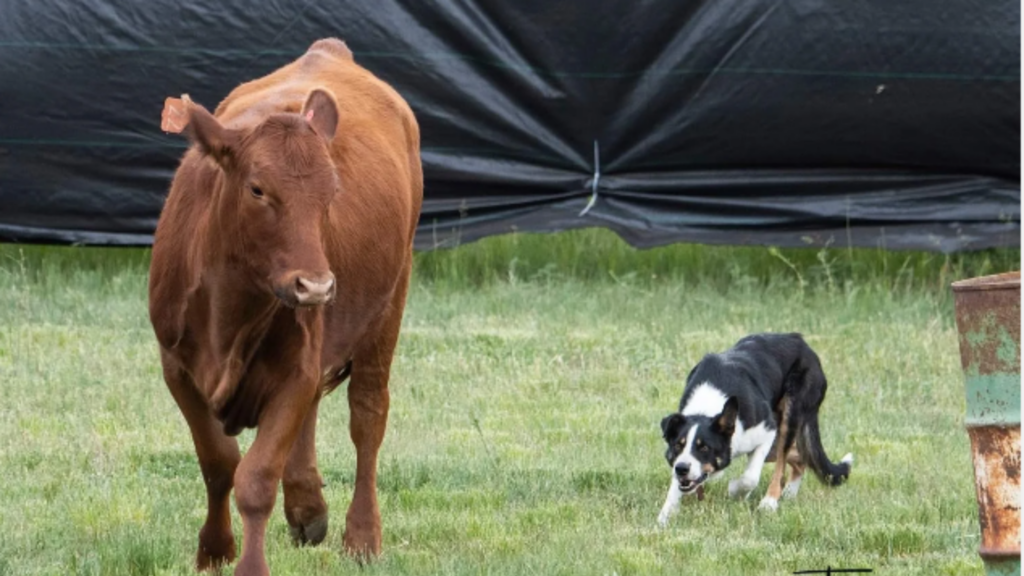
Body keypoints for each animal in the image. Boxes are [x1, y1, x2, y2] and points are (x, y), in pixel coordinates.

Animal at [149, 38, 423, 569]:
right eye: (257, 189)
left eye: (332, 191)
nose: (315, 287)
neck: (228, 311)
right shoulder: (177, 367)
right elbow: (219, 464)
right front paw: (214, 552)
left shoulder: (295, 367)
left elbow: (255, 478)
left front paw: (249, 565)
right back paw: (307, 506)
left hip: (391, 299)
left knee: (367, 415)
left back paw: (362, 537)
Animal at [659, 330, 851, 522]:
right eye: (678, 446)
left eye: (704, 448)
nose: (682, 469)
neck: (708, 406)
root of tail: (798, 339)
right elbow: (676, 485)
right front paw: (667, 514)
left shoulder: (767, 432)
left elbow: (750, 478)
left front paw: (737, 492)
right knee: (801, 456)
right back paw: (789, 493)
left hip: (789, 417)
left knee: (783, 460)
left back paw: (770, 501)